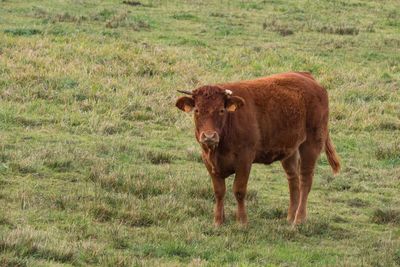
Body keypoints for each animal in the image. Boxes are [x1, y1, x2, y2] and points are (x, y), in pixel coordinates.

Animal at [175, 72, 340, 227]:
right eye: (197, 110)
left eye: (221, 110)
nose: (209, 136)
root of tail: (308, 77)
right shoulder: (208, 161)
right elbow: (219, 191)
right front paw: (218, 221)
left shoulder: (244, 159)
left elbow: (239, 190)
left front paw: (242, 222)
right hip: (290, 150)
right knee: (293, 180)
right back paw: (290, 217)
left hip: (311, 144)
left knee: (306, 180)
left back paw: (298, 220)